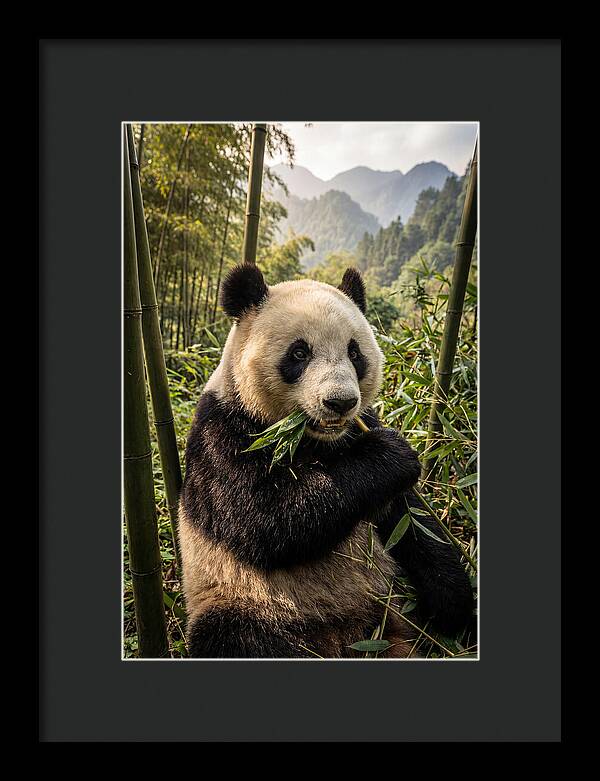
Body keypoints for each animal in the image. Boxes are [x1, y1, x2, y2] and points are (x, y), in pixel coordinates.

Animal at [179, 263, 474, 658]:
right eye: (299, 353)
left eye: (355, 352)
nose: (340, 402)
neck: (313, 440)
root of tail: (344, 637)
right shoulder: (223, 433)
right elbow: (265, 520)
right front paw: (392, 454)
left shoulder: (361, 431)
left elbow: (412, 522)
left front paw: (454, 604)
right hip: (243, 599)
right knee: (233, 636)